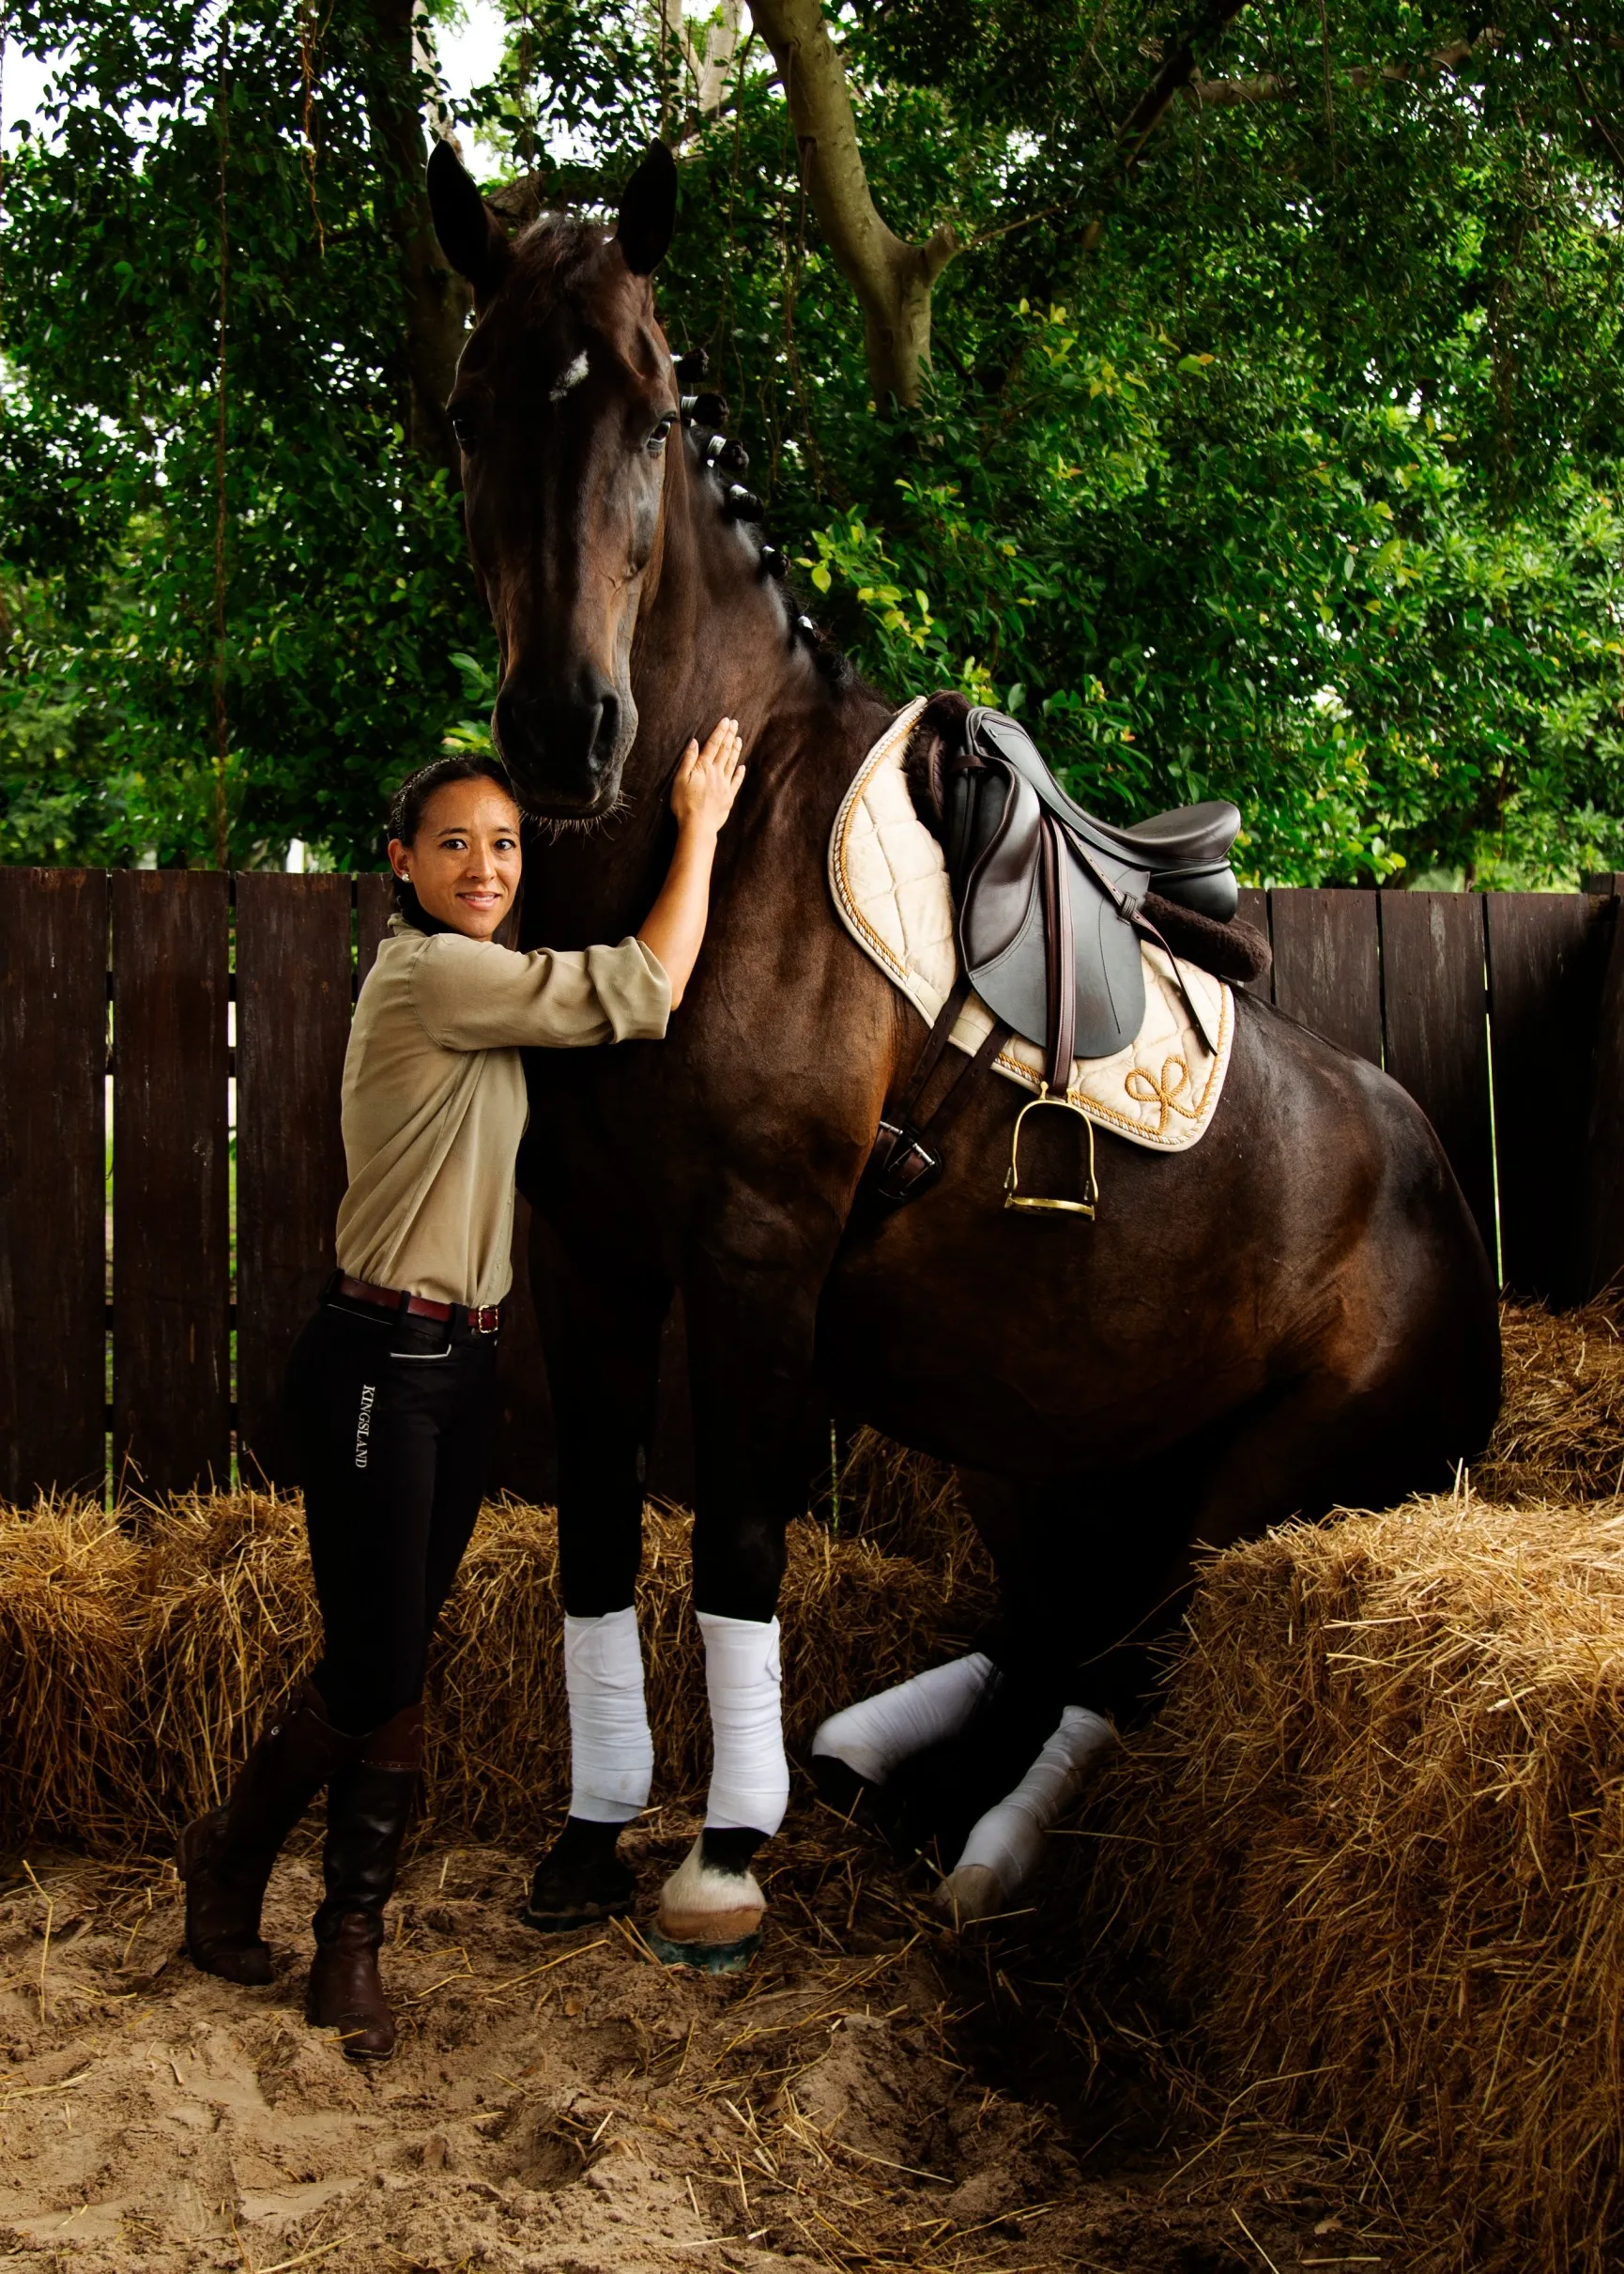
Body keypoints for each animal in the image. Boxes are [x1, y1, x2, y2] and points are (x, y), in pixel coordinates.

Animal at [424, 139, 1500, 1962]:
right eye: (471, 406)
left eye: (648, 415)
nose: (567, 732)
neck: (701, 862)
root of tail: (1442, 1191)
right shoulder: (590, 1260)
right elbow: (593, 1546)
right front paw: (587, 1837)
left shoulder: (759, 1262)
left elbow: (737, 1547)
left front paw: (723, 1855)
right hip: (1037, 1450)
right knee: (1046, 1632)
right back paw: (877, 1763)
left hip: (1258, 1487)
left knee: (1135, 1661)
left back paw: (990, 1853)